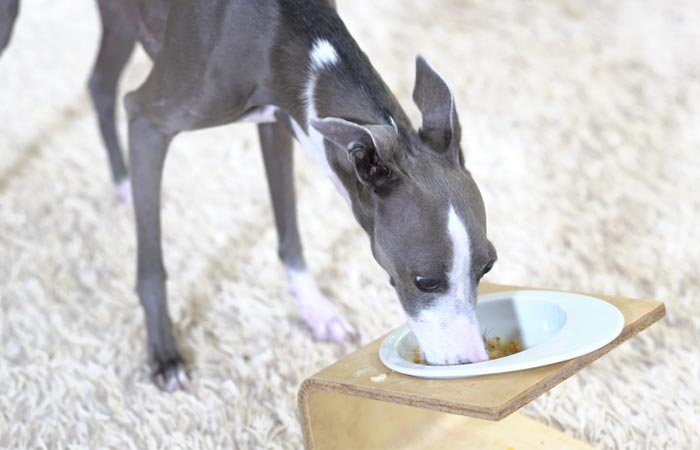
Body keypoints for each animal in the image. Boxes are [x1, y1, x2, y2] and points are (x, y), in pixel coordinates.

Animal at [0, 0, 494, 390]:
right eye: (425, 281)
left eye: (488, 266)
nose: (473, 363)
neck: (279, 26)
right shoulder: (148, 121)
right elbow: (152, 265)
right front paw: (164, 355)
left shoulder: (281, 122)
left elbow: (289, 229)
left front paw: (315, 310)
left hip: (120, 17)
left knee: (99, 84)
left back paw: (122, 184)